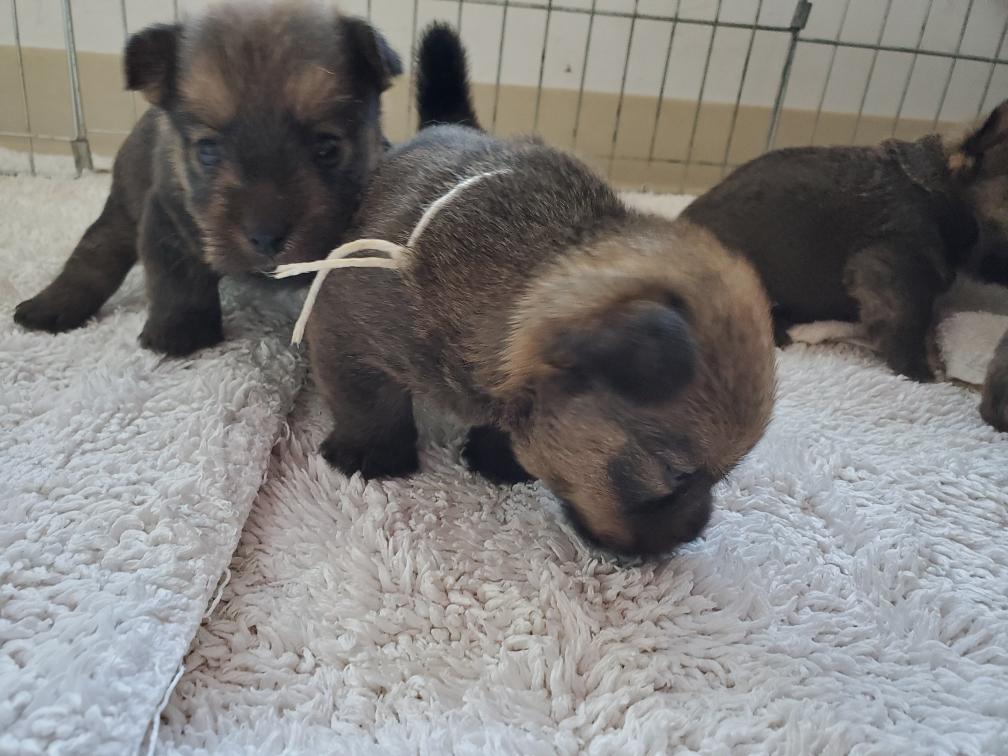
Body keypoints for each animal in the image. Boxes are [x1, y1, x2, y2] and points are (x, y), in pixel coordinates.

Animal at [14, 1, 401, 356]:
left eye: (328, 148)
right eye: (208, 150)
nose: (266, 239)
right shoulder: (166, 215)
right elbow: (176, 277)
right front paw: (179, 332)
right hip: (122, 211)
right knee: (94, 253)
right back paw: (50, 306)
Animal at [298, 25, 776, 556]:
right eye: (674, 474)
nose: (691, 535)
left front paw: (498, 458)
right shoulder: (346, 323)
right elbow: (367, 399)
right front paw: (372, 452)